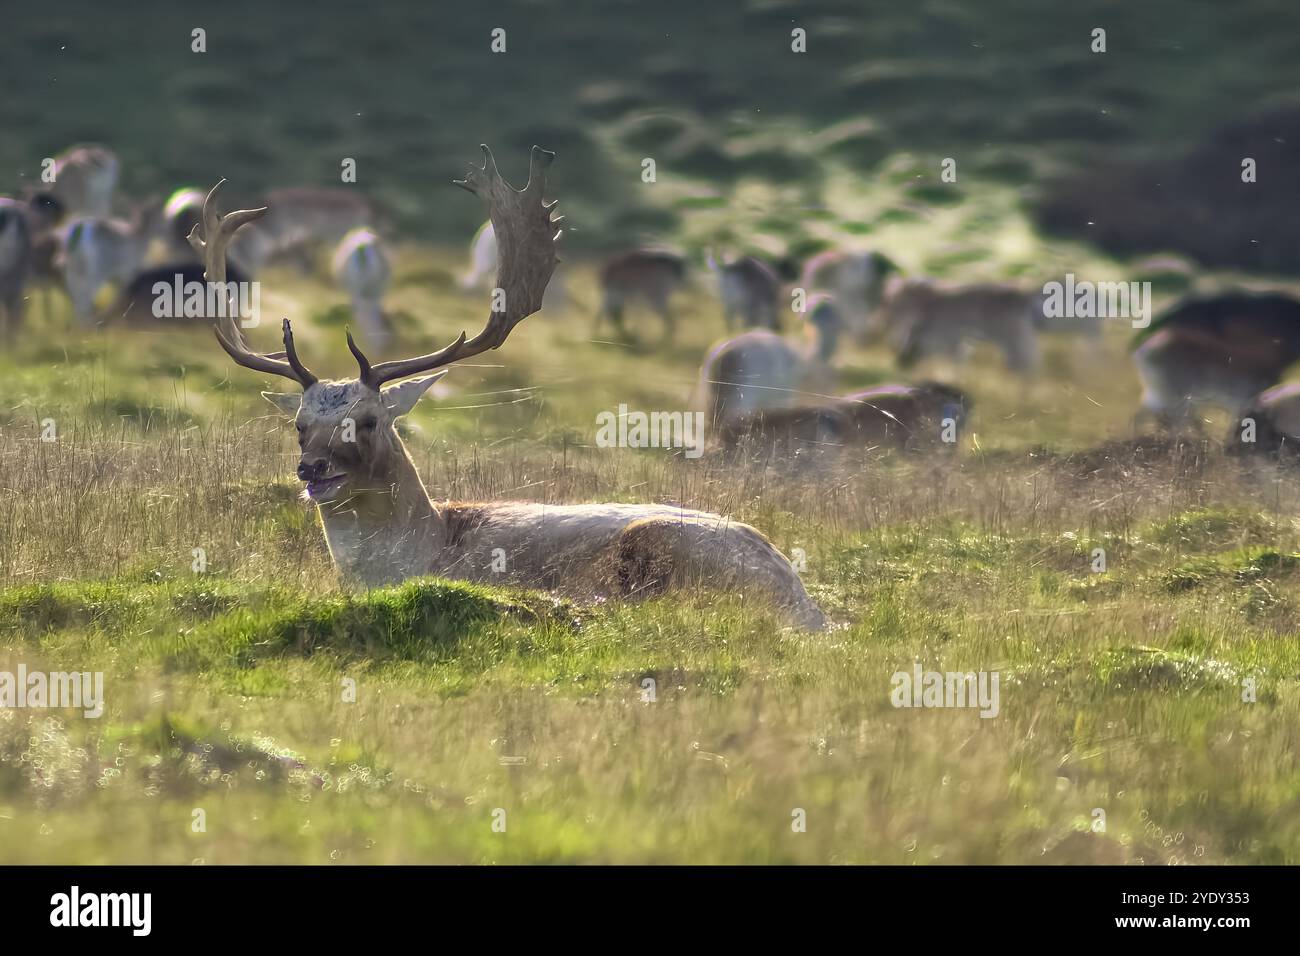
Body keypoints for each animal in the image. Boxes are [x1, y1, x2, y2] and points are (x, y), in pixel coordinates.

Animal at [889, 277, 1040, 374]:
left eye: (898, 309)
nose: (900, 363)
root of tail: (1021, 296)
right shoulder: (957, 346)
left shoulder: (949, 345)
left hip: (1013, 343)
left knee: (1026, 367)